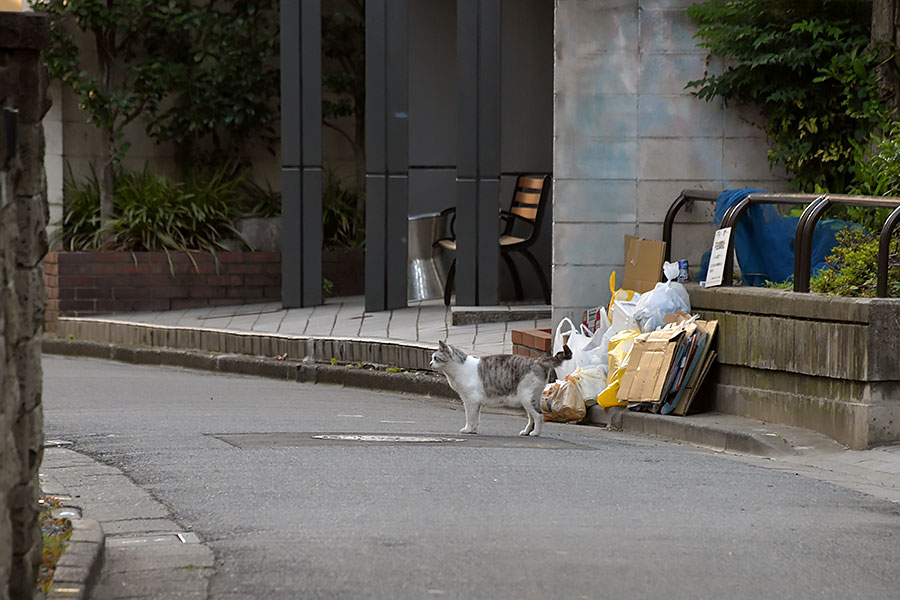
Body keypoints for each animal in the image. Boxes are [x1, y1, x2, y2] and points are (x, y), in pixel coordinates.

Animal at [430, 342, 572, 436]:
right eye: (432, 358)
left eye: (436, 358)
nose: (430, 364)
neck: (457, 370)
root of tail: (538, 360)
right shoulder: (476, 403)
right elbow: (476, 418)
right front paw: (473, 430)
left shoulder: (470, 401)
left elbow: (470, 417)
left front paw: (468, 429)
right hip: (530, 399)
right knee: (532, 417)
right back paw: (526, 431)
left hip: (527, 398)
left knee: (538, 416)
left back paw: (536, 433)